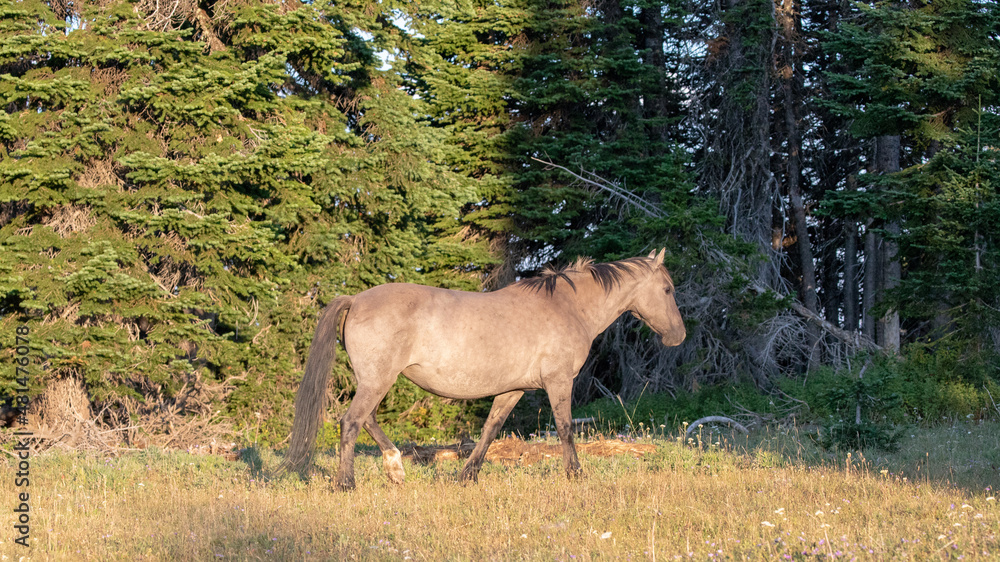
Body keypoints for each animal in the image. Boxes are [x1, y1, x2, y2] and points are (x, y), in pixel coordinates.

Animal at [279, 249, 685, 490]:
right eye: (667, 289)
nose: (678, 335)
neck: (566, 307)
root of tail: (357, 298)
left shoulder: (513, 389)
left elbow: (490, 429)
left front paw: (467, 475)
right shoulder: (558, 382)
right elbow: (566, 428)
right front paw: (575, 474)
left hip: (376, 380)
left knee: (367, 420)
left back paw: (395, 468)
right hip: (377, 380)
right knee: (351, 421)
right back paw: (346, 483)